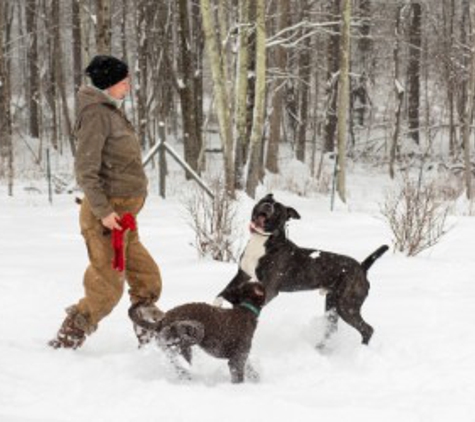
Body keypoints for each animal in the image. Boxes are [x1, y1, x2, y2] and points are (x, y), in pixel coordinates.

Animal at [214, 195, 388, 346]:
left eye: (278, 209)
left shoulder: (270, 288)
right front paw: (218, 304)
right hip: (332, 303)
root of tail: (362, 267)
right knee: (332, 328)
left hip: (346, 306)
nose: (268, 205)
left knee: (367, 329)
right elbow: (224, 290)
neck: (264, 240)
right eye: (265, 200)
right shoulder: (242, 274)